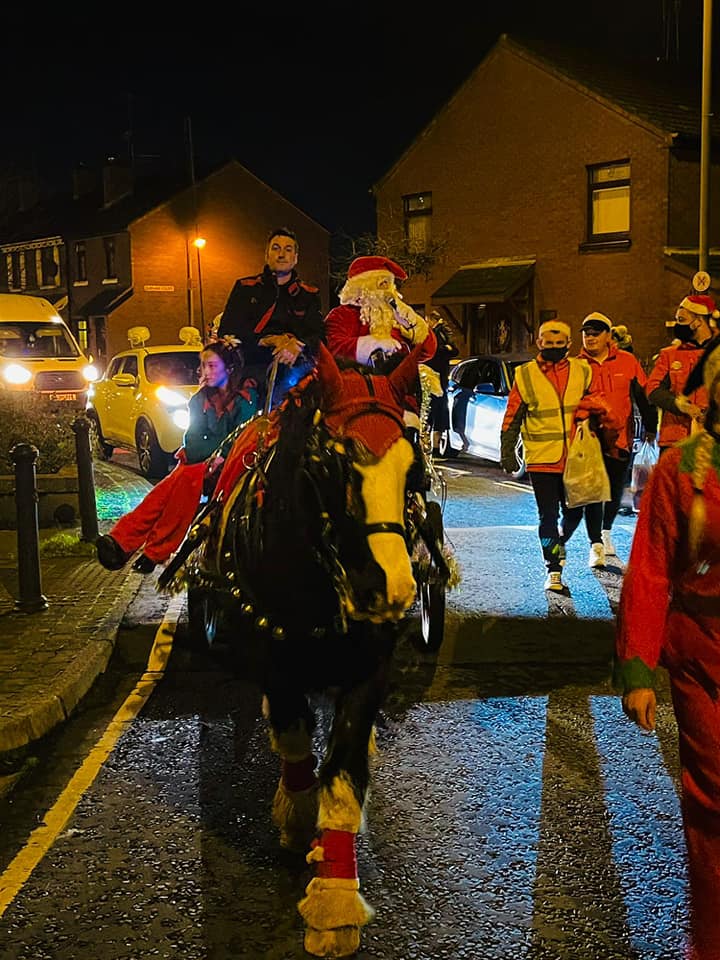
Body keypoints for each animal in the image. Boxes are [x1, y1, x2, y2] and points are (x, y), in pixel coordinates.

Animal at [160, 342, 448, 956]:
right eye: (328, 464)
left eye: (412, 470)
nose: (389, 588)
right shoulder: (276, 659)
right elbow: (294, 735)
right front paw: (296, 816)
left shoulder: (370, 665)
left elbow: (343, 767)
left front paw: (334, 900)